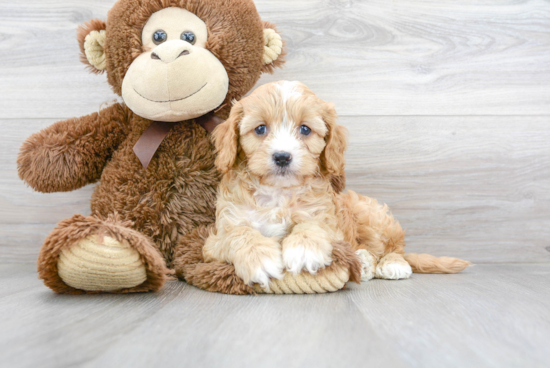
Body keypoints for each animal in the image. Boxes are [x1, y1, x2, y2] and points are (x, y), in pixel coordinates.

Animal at [203, 80, 470, 288]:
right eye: (260, 129)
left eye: (305, 129)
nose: (282, 157)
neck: (279, 192)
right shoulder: (215, 239)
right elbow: (239, 233)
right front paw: (259, 257)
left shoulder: (328, 220)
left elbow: (313, 225)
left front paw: (304, 249)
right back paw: (364, 262)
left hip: (372, 216)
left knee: (394, 247)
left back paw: (391, 264)